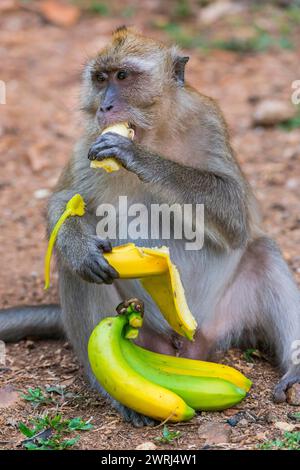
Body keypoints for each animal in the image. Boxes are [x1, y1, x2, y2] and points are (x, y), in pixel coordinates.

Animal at [0, 27, 300, 428]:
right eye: (101, 79)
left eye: (123, 76)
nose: (105, 107)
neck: (154, 133)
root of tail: (188, 345)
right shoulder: (86, 141)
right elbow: (63, 202)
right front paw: (79, 246)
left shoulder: (209, 122)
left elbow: (237, 213)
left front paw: (138, 158)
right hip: (145, 337)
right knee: (78, 271)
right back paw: (116, 390)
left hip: (226, 316)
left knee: (262, 250)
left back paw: (295, 370)